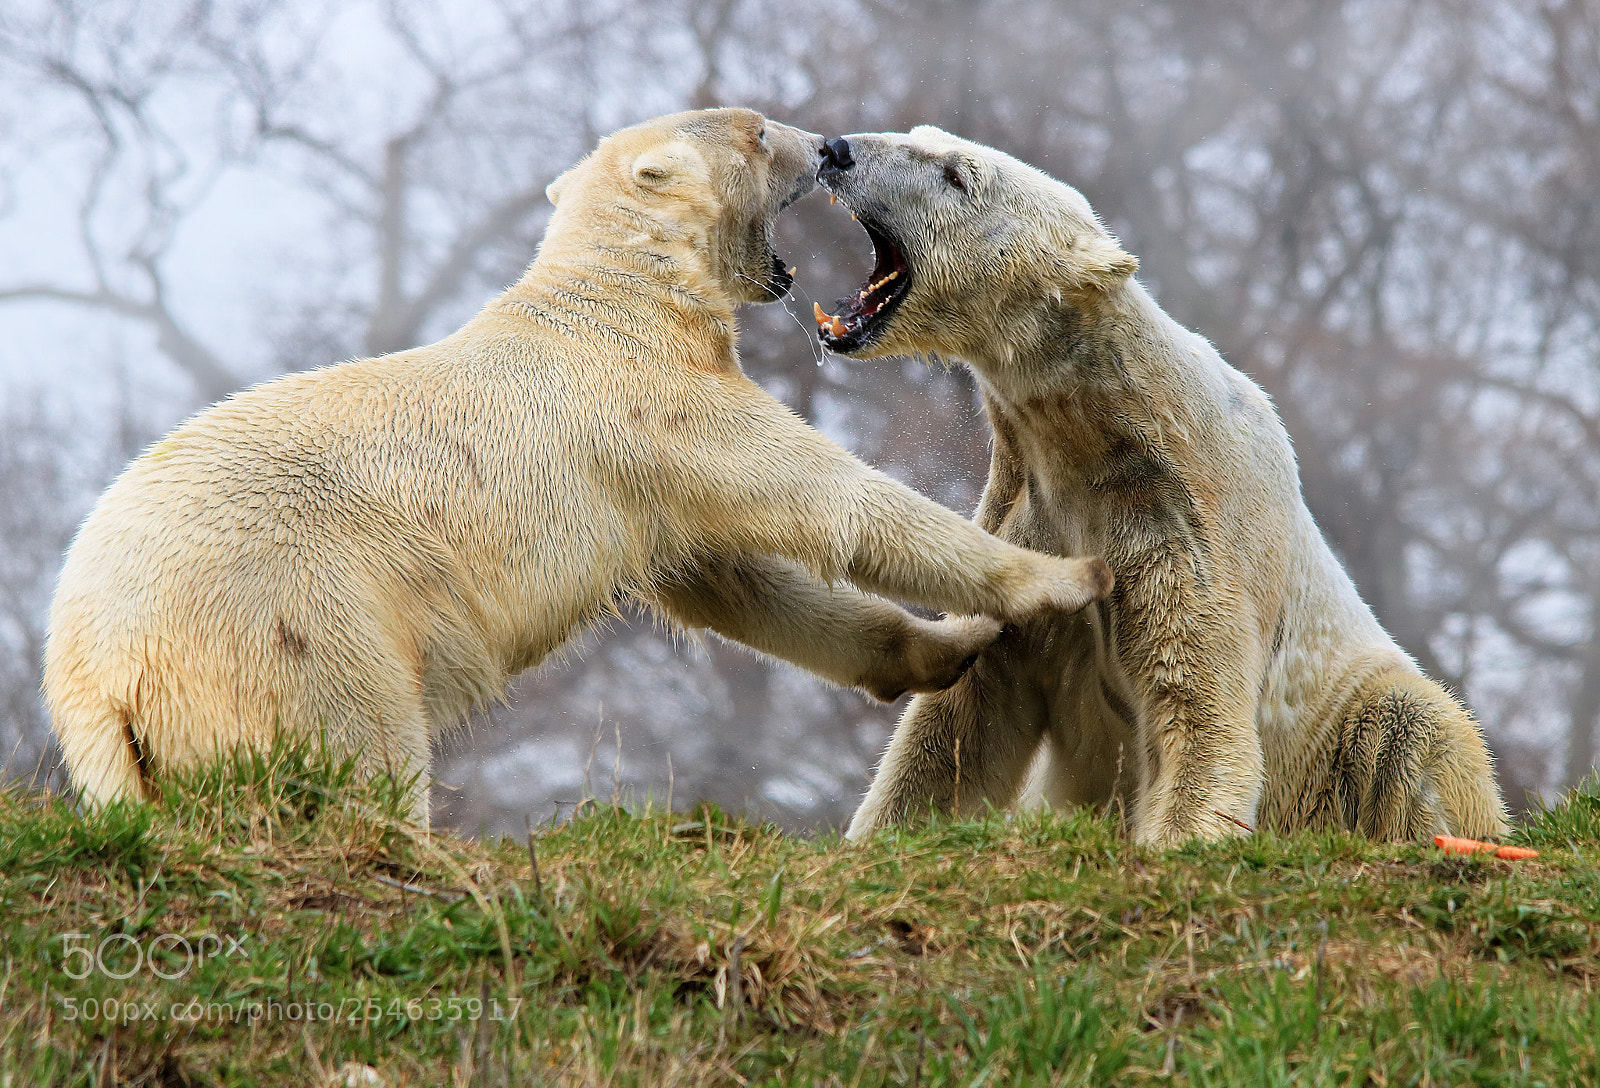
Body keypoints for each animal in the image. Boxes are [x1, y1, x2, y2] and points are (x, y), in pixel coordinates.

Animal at [44, 110, 1114, 824]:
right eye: (756, 132)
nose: (826, 143)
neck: (615, 300)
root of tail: (95, 679)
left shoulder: (648, 474)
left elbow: (732, 581)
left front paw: (949, 647)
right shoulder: (654, 407)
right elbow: (828, 503)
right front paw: (1063, 578)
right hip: (294, 624)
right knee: (354, 756)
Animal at [805, 126, 1509, 847]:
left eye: (956, 174)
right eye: (922, 136)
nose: (836, 148)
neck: (1089, 432)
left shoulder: (1181, 523)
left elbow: (1199, 712)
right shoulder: (1025, 513)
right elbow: (958, 721)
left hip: (1343, 722)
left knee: (1409, 726)